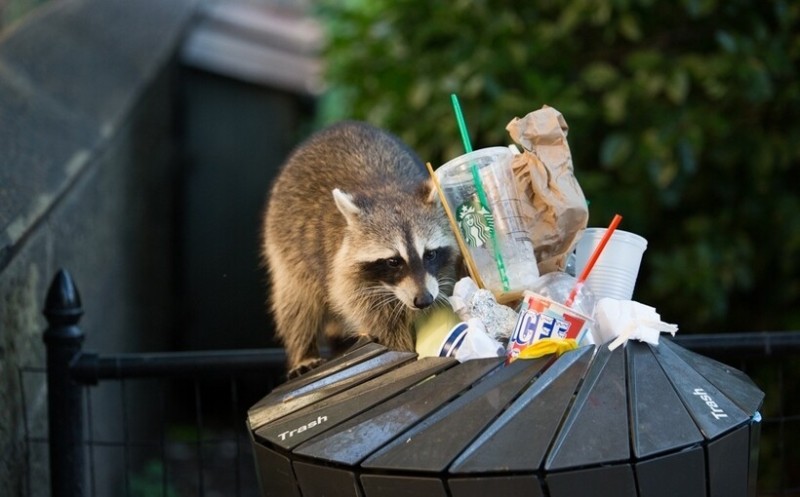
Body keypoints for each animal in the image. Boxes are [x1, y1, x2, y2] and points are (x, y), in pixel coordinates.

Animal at [264, 121, 456, 376]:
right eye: (393, 261)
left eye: (430, 254)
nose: (424, 300)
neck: (388, 190)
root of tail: (340, 126)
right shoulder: (347, 278)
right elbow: (380, 321)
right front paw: (402, 349)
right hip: (284, 245)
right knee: (296, 301)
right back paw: (303, 352)